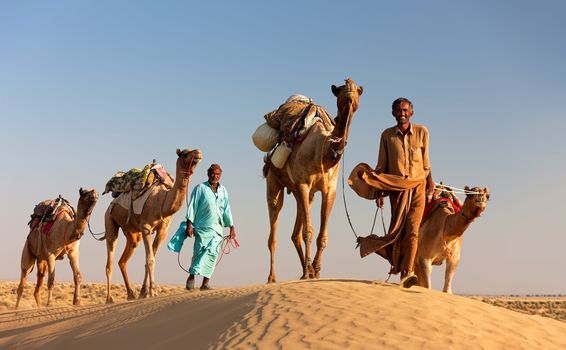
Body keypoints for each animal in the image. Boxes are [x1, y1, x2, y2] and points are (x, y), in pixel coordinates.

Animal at [104, 146, 202, 302]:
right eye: (185, 153)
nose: (198, 152)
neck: (162, 200)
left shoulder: (163, 230)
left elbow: (151, 258)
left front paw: (144, 292)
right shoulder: (146, 228)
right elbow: (150, 259)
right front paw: (153, 291)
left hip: (131, 232)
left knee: (123, 259)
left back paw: (131, 294)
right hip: (109, 220)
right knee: (110, 260)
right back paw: (109, 299)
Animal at [266, 78, 364, 284]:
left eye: (358, 91)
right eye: (340, 91)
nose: (350, 89)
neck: (324, 151)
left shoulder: (330, 189)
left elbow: (322, 235)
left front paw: (316, 271)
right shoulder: (304, 184)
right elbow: (308, 232)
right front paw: (308, 272)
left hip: (300, 192)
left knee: (295, 233)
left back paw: (308, 269)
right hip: (274, 182)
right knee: (274, 232)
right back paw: (272, 277)